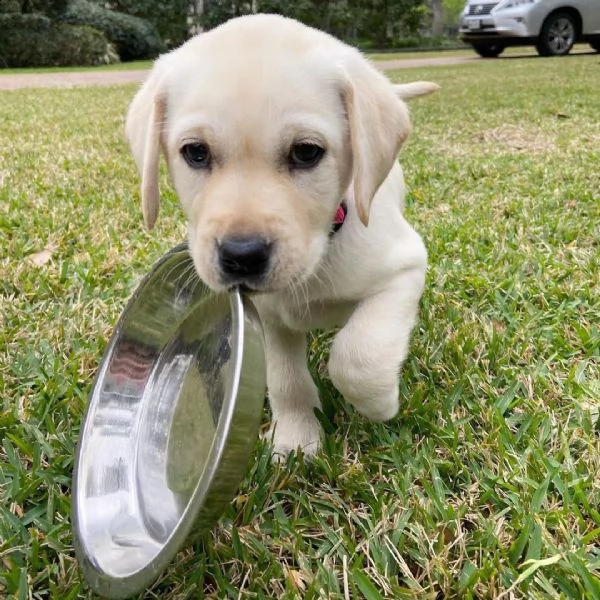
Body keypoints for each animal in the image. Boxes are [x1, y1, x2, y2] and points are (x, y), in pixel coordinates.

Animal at [125, 14, 436, 458]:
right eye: (195, 153)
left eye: (306, 152)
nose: (241, 255)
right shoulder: (267, 318)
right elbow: (287, 380)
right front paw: (296, 439)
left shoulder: (404, 270)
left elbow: (357, 357)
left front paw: (380, 404)